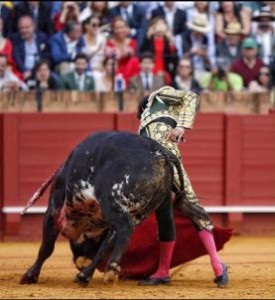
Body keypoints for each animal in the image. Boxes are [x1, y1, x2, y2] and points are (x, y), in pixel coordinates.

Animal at [18, 131, 201, 286]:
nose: (79, 260)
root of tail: (160, 152)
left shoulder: (54, 209)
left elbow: (46, 247)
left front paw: (30, 276)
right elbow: (105, 244)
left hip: (114, 202)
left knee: (125, 230)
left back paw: (108, 270)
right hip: (140, 212)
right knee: (117, 237)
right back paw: (86, 275)